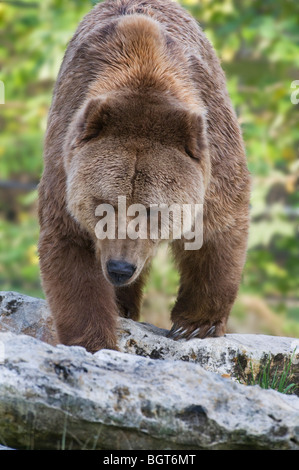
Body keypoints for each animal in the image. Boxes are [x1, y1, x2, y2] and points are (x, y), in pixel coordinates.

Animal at [38, 0, 252, 352]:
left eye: (153, 210)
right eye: (103, 205)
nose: (120, 268)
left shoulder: (213, 148)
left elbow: (217, 226)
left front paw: (196, 324)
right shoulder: (65, 158)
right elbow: (71, 247)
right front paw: (95, 341)